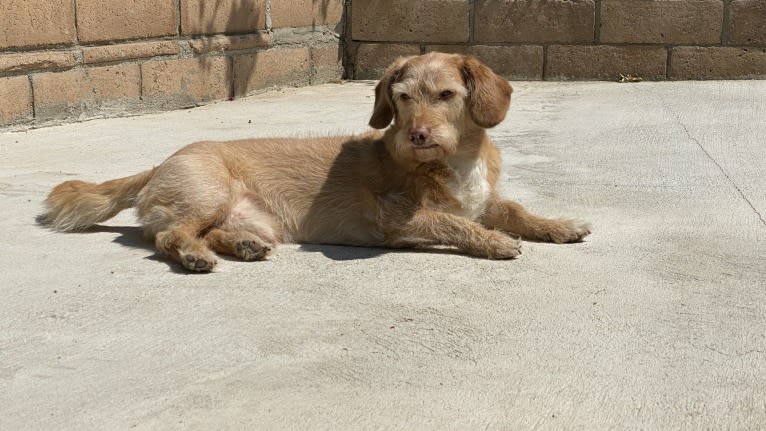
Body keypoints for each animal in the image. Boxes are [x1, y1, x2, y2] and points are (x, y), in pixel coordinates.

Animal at [40, 52, 592, 272]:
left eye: (447, 95)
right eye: (403, 98)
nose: (416, 135)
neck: (456, 160)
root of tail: (159, 164)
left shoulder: (484, 199)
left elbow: (517, 210)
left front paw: (558, 225)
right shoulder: (396, 218)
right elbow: (454, 223)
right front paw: (495, 242)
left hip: (252, 217)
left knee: (212, 231)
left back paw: (240, 246)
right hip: (208, 192)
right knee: (170, 235)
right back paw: (196, 255)